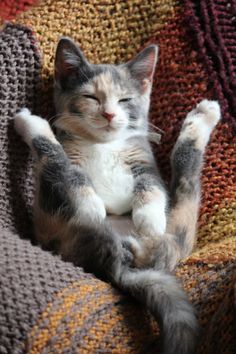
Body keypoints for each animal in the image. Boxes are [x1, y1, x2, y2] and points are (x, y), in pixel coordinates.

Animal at [14, 38, 221, 354]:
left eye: (125, 100)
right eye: (91, 97)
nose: (109, 114)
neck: (104, 144)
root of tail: (119, 261)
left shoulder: (143, 160)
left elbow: (152, 185)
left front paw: (149, 219)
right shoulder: (73, 159)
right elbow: (72, 172)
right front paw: (90, 207)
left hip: (176, 230)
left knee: (184, 172)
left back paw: (203, 117)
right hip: (50, 219)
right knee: (54, 159)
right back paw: (31, 123)